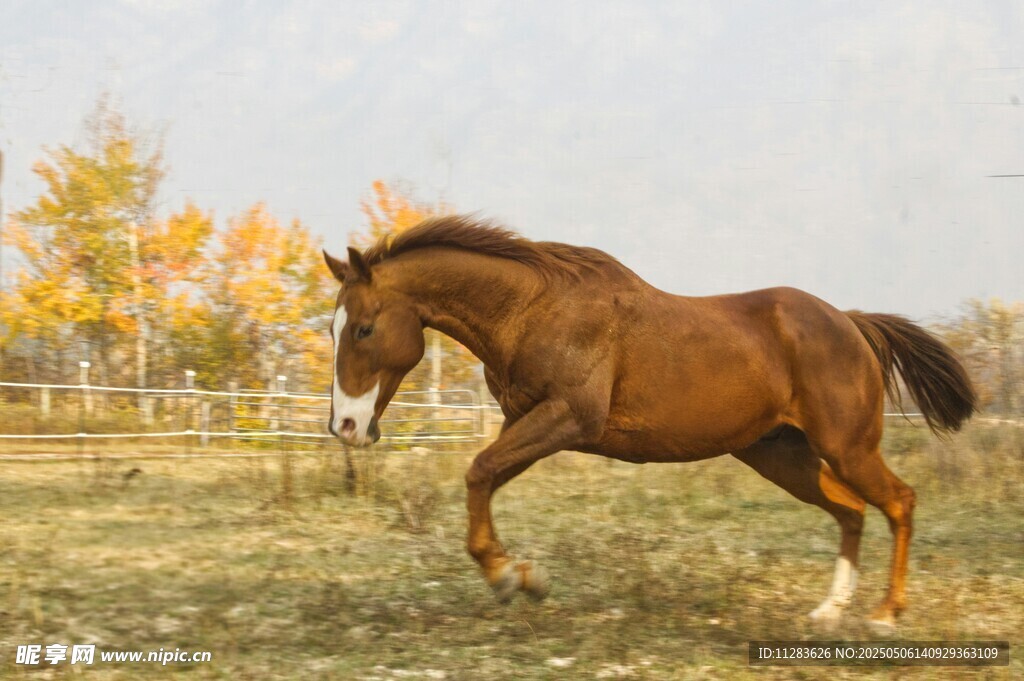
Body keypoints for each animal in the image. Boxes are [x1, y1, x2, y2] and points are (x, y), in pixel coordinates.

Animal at [323, 215, 975, 629]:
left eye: (364, 328)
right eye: (334, 327)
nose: (346, 427)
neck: (534, 309)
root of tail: (851, 323)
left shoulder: (569, 419)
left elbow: (479, 471)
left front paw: (510, 578)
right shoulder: (525, 422)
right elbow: (484, 476)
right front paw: (522, 577)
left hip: (846, 447)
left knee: (899, 503)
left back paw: (886, 616)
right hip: (781, 455)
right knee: (852, 511)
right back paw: (828, 612)